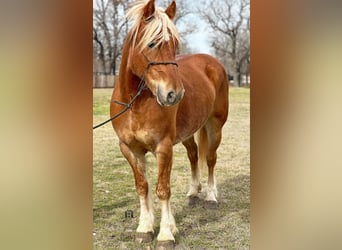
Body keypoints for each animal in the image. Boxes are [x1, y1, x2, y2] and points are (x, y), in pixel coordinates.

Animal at [109, 0, 228, 246]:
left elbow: (163, 189)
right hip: (188, 133)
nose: (175, 94)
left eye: (175, 45)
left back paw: (211, 197)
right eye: (152, 43)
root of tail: (213, 63)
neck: (134, 104)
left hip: (215, 126)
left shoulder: (163, 147)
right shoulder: (130, 149)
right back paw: (193, 193)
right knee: (194, 155)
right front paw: (145, 227)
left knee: (210, 159)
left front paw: (165, 233)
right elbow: (142, 186)